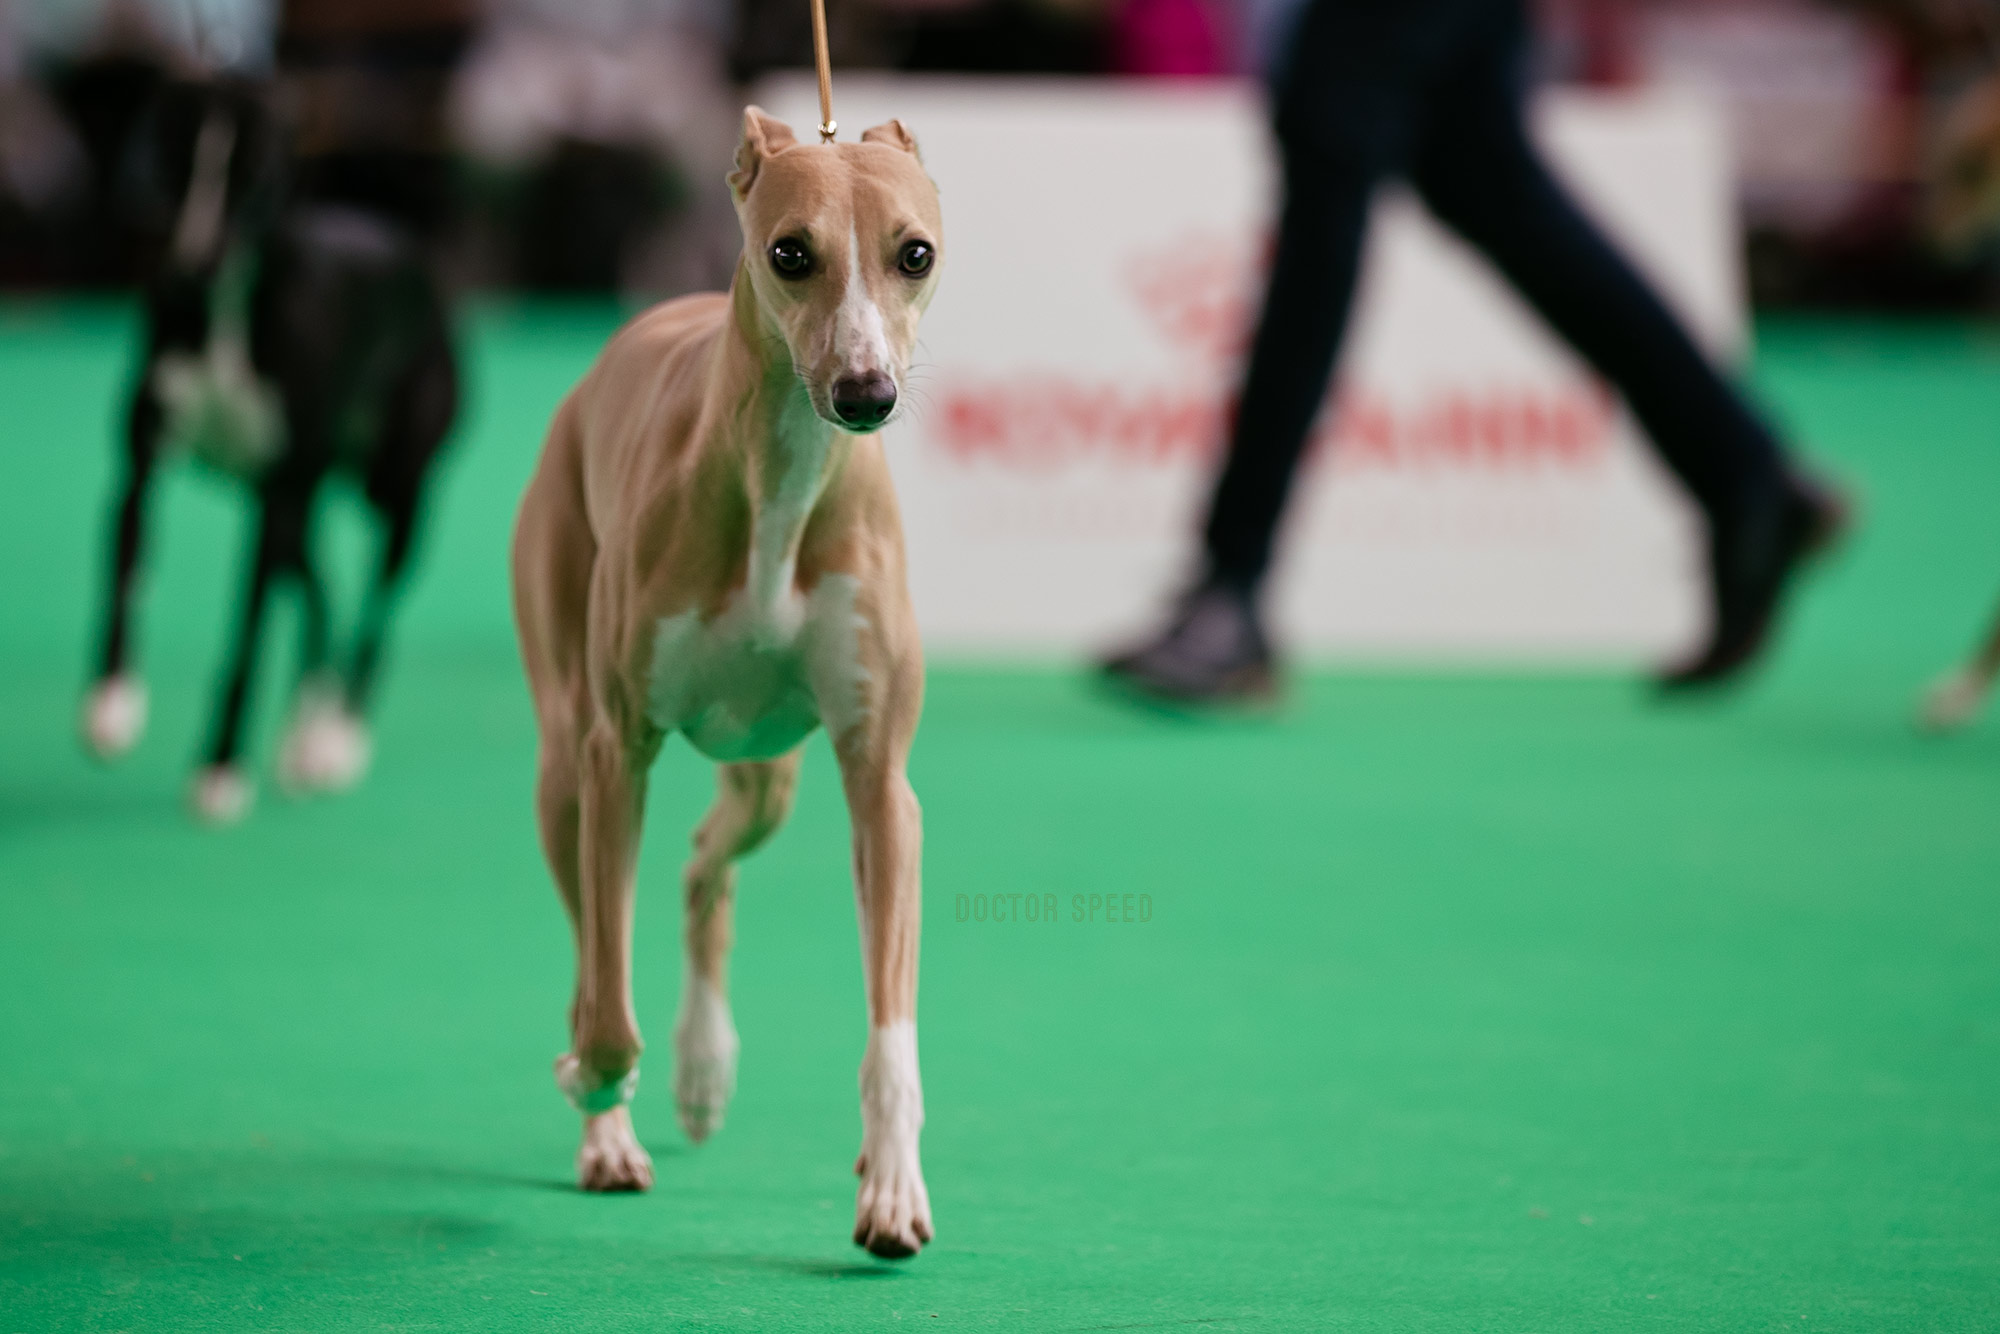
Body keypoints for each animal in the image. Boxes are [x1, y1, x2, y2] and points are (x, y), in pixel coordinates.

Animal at [81, 81, 458, 824]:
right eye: (172, 155)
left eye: (253, 174)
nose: (191, 268)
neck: (226, 315)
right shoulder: (142, 473)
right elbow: (123, 579)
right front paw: (112, 704)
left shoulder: (276, 499)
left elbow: (246, 640)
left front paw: (221, 767)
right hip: (301, 502)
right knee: (322, 590)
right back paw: (301, 735)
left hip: (393, 491)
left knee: (372, 608)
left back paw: (335, 738)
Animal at [516, 109, 952, 1256]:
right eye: (790, 253)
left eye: (914, 253)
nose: (864, 396)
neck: (782, 488)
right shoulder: (618, 752)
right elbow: (603, 1008)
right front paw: (592, 1084)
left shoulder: (879, 783)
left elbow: (891, 1029)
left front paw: (893, 1185)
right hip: (567, 759)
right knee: (601, 934)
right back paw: (616, 1130)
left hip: (768, 769)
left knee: (702, 870)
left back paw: (705, 1068)